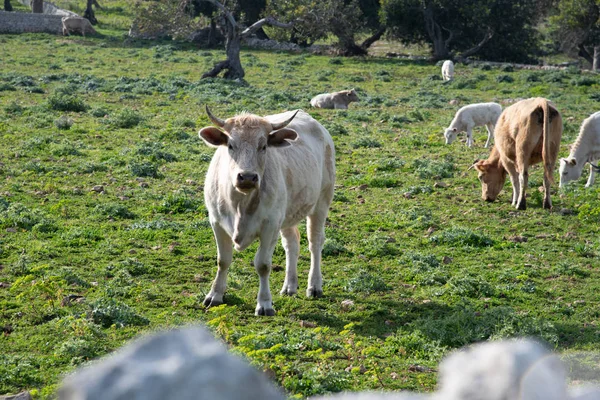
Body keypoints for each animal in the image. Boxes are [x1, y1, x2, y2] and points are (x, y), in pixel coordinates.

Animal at [199, 106, 336, 316]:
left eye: (263, 146)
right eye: (230, 145)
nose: (247, 177)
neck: (240, 205)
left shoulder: (270, 226)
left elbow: (263, 265)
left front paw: (264, 304)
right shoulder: (216, 222)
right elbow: (223, 260)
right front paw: (214, 295)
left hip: (321, 202)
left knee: (315, 243)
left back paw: (314, 286)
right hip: (287, 214)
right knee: (292, 243)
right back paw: (289, 286)